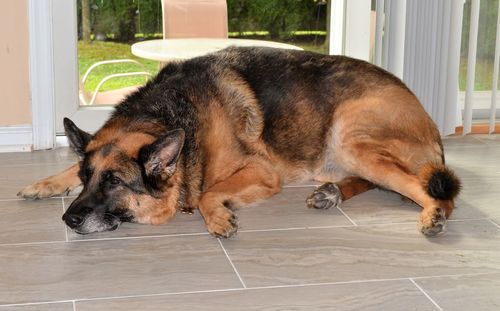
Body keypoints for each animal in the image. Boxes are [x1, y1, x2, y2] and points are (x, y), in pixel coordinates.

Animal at [18, 46, 460, 238]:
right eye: (87, 177)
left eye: (113, 183)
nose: (68, 220)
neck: (171, 117)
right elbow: (65, 169)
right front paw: (43, 183)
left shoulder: (261, 172)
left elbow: (209, 193)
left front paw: (217, 217)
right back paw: (331, 192)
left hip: (351, 137)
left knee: (436, 191)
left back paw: (432, 215)